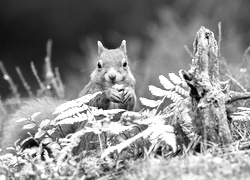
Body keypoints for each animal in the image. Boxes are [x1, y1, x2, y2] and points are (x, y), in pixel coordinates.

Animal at [0, 40, 137, 154]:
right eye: (99, 65)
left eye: (125, 64)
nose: (112, 76)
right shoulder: (91, 92)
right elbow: (96, 102)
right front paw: (109, 93)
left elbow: (127, 108)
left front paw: (129, 93)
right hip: (91, 134)